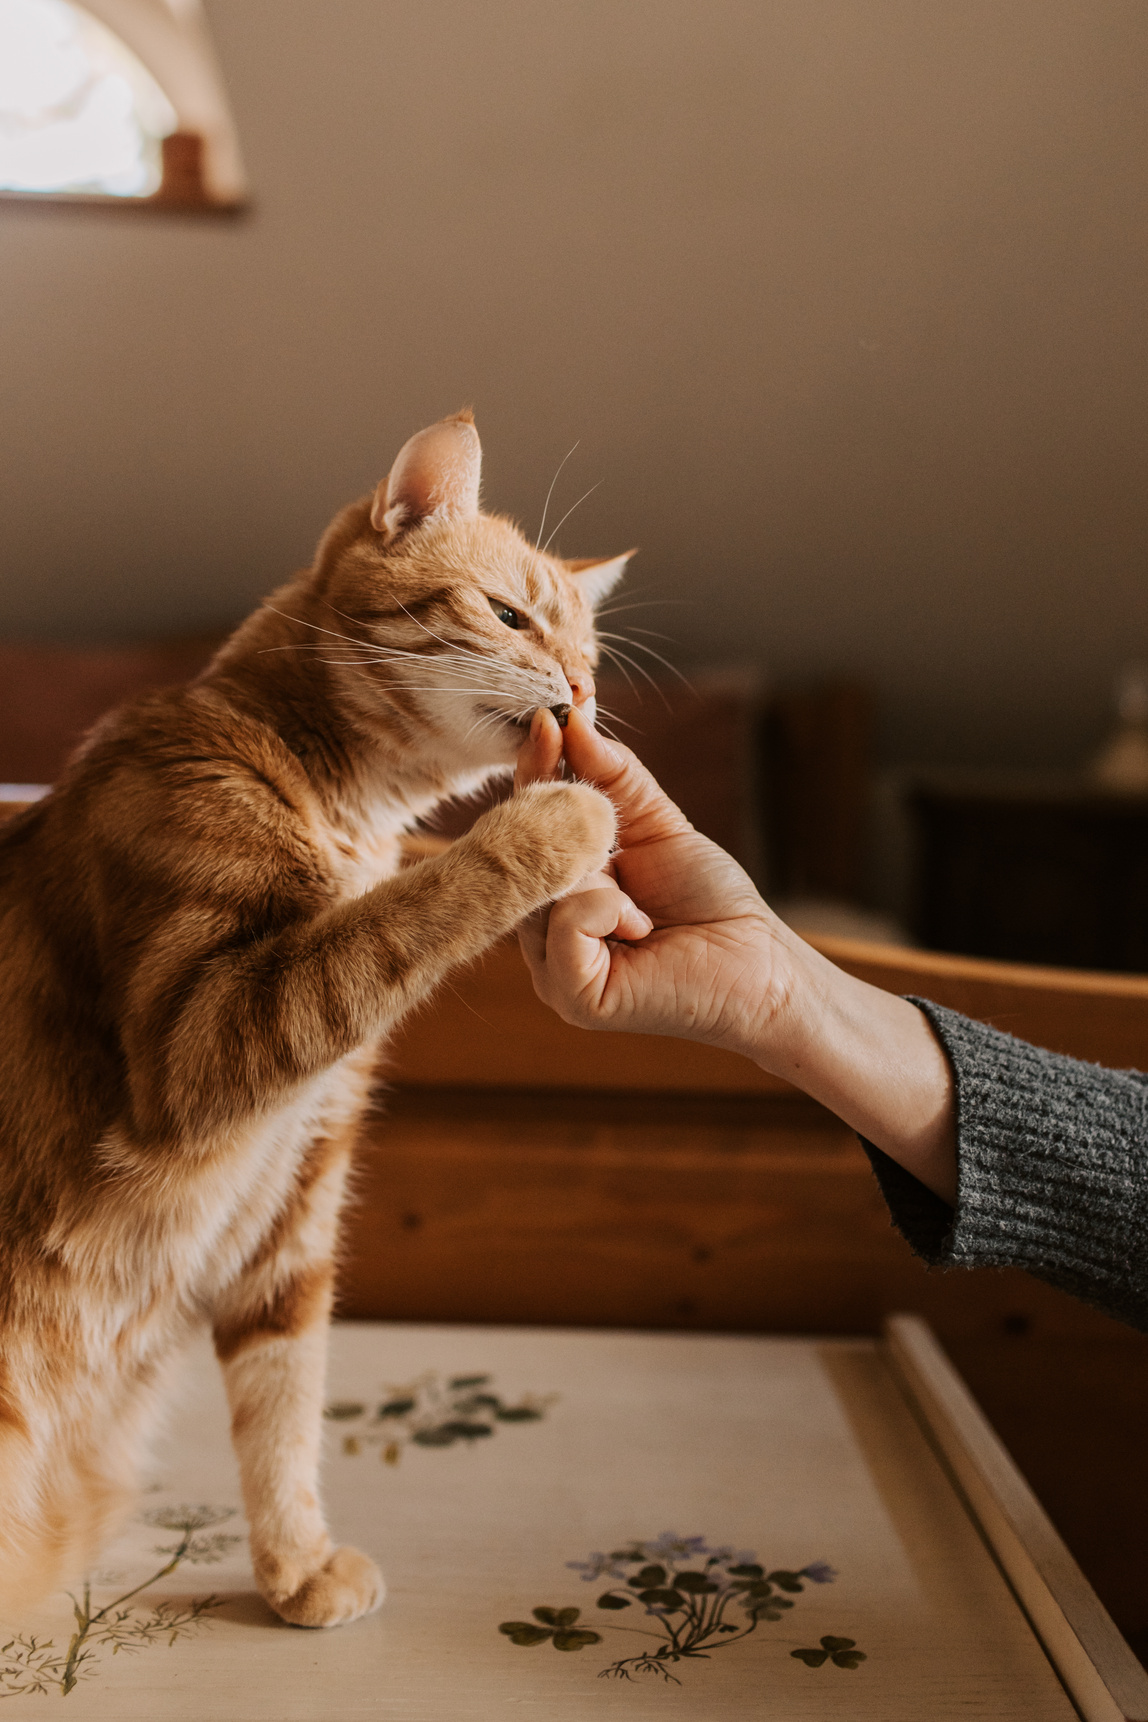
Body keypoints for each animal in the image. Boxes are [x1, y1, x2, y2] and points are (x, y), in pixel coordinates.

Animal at [0, 409, 629, 1618]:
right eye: (510, 616)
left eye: (590, 654)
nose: (577, 695)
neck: (352, 811)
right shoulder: (200, 1045)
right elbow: (407, 909)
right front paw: (559, 825)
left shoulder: (302, 1177)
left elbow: (283, 1393)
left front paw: (293, 1563)